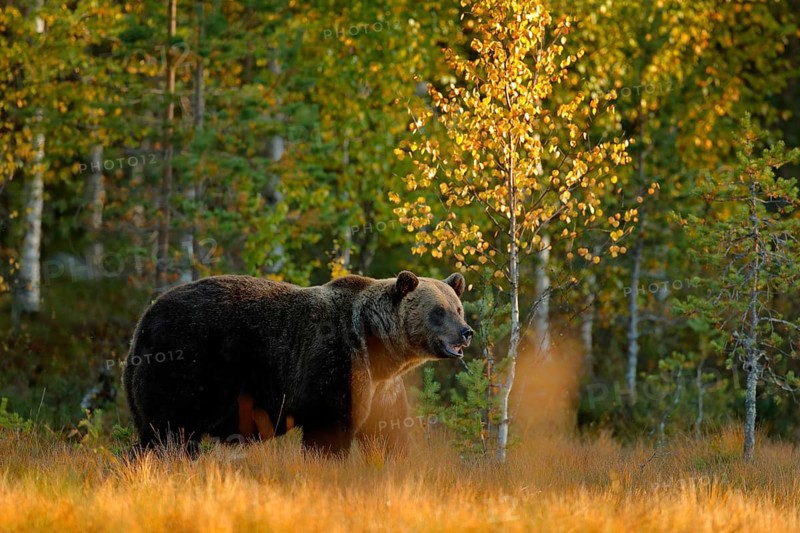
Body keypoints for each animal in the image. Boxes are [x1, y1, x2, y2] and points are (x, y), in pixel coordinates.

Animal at [122, 270, 473, 456]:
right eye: (438, 311)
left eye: (458, 308)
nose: (466, 332)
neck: (378, 349)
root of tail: (144, 321)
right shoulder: (337, 365)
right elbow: (329, 429)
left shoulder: (382, 387)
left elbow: (388, 430)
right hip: (186, 365)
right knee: (171, 431)